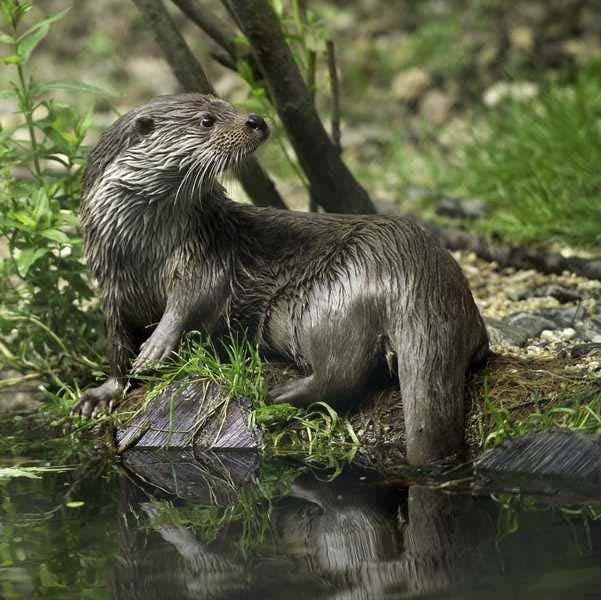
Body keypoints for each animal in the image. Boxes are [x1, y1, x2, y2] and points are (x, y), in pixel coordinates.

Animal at [75, 94, 488, 464]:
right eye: (207, 120)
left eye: (229, 106)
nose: (255, 120)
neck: (142, 255)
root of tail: (416, 272)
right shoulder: (110, 287)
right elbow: (117, 346)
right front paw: (100, 395)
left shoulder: (205, 257)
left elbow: (192, 300)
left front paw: (158, 345)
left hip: (324, 301)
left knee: (342, 373)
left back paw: (273, 394)